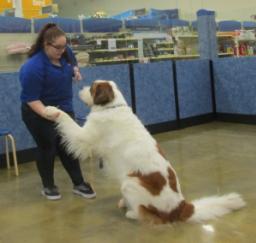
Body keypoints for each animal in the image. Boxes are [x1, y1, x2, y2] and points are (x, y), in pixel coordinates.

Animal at [45, 79, 246, 224]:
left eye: (93, 87)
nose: (81, 87)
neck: (112, 107)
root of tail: (181, 206)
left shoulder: (84, 137)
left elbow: (66, 120)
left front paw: (51, 109)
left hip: (129, 183)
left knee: (149, 214)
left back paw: (132, 213)